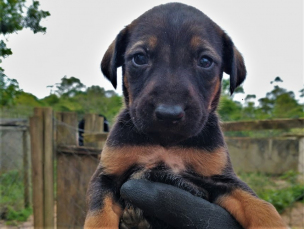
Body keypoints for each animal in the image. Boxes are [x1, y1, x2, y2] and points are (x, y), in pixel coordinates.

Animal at [83, 3, 288, 229]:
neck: (166, 143)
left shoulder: (223, 180)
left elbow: (260, 206)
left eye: (205, 61)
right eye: (139, 58)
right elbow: (99, 215)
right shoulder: (106, 177)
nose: (168, 114)